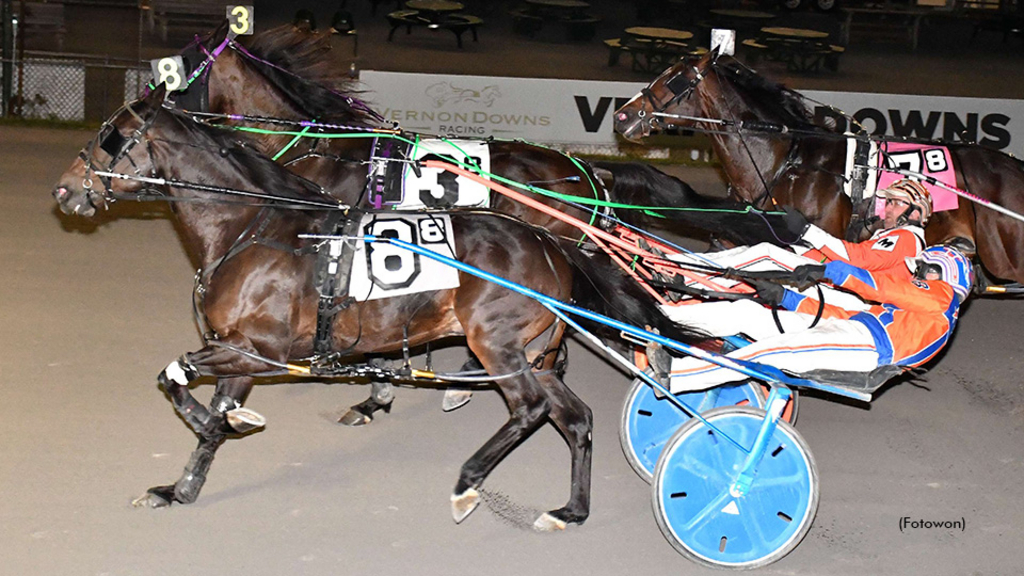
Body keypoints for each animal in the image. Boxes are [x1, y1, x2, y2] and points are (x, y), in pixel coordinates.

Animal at [49, 86, 704, 528]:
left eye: (108, 137)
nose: (63, 189)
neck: (252, 225)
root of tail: (550, 241)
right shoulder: (240, 352)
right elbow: (201, 409)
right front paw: (181, 487)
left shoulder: (257, 351)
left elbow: (175, 378)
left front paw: (226, 424)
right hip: (535, 353)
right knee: (575, 417)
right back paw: (570, 510)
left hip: (498, 343)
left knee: (529, 410)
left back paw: (468, 481)